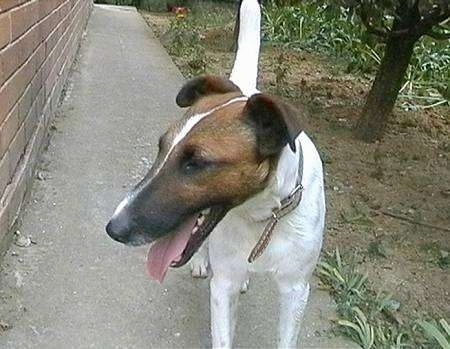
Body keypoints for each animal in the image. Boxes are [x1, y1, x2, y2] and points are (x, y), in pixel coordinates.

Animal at [105, 1, 324, 346]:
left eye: (196, 163)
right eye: (161, 147)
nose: (113, 229)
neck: (262, 216)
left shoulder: (295, 291)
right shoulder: (223, 285)